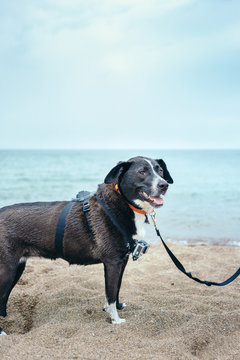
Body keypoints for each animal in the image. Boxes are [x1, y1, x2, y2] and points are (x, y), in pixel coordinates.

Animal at [0, 155, 172, 334]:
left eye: (160, 170)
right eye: (142, 171)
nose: (164, 185)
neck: (122, 201)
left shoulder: (121, 261)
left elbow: (116, 289)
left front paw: (116, 307)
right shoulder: (113, 263)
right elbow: (111, 294)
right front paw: (115, 320)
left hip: (17, 267)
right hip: (7, 270)